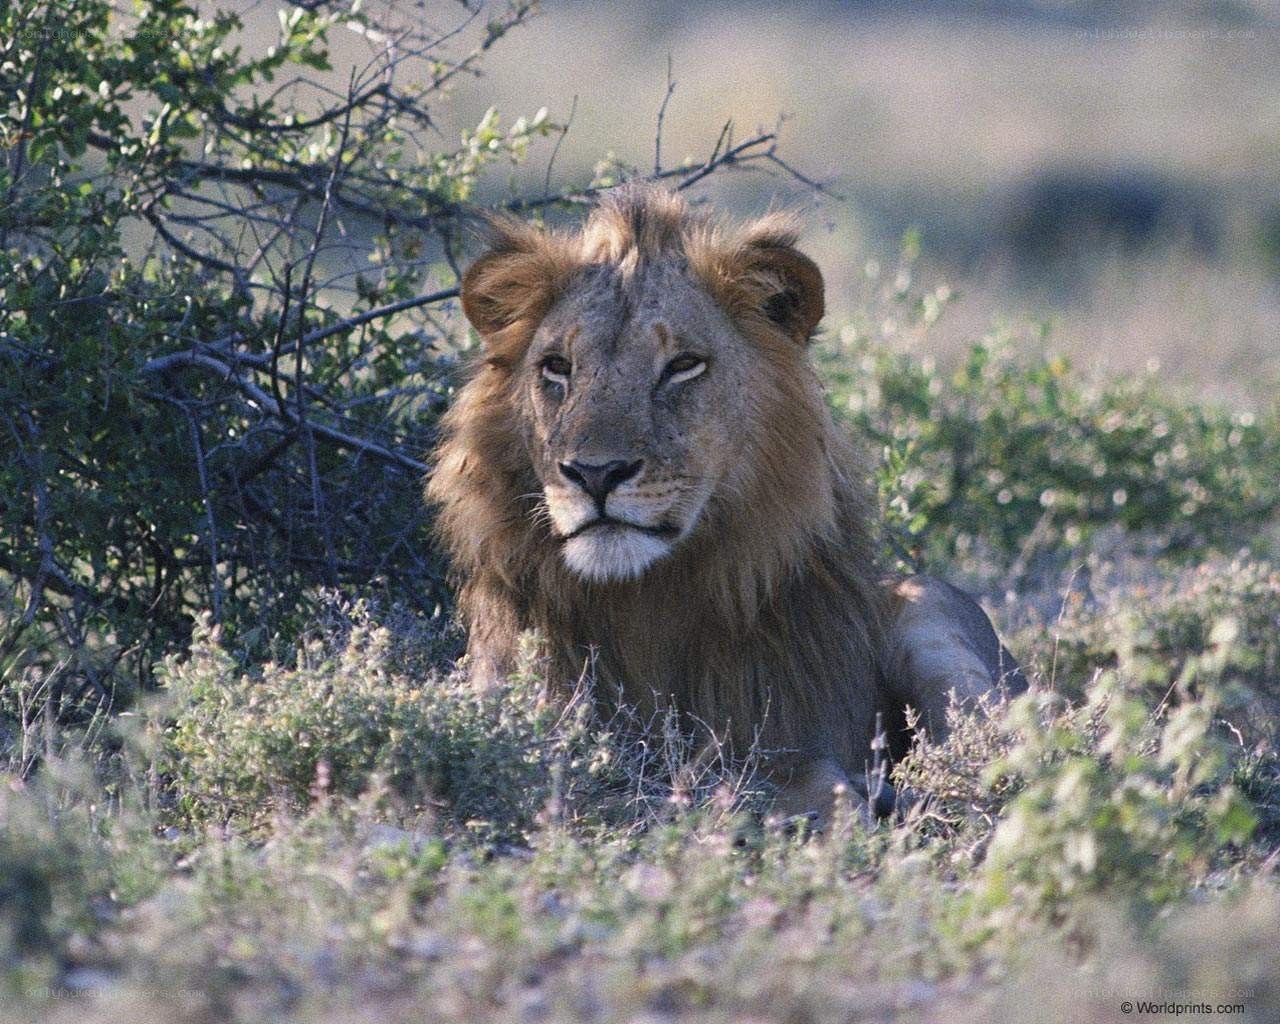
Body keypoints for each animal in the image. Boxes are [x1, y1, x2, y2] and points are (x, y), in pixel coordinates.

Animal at [427, 185, 1025, 822]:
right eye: (557, 368)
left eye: (682, 366)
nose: (595, 474)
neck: (644, 599)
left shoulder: (790, 738)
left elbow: (811, 781)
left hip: (930, 618)